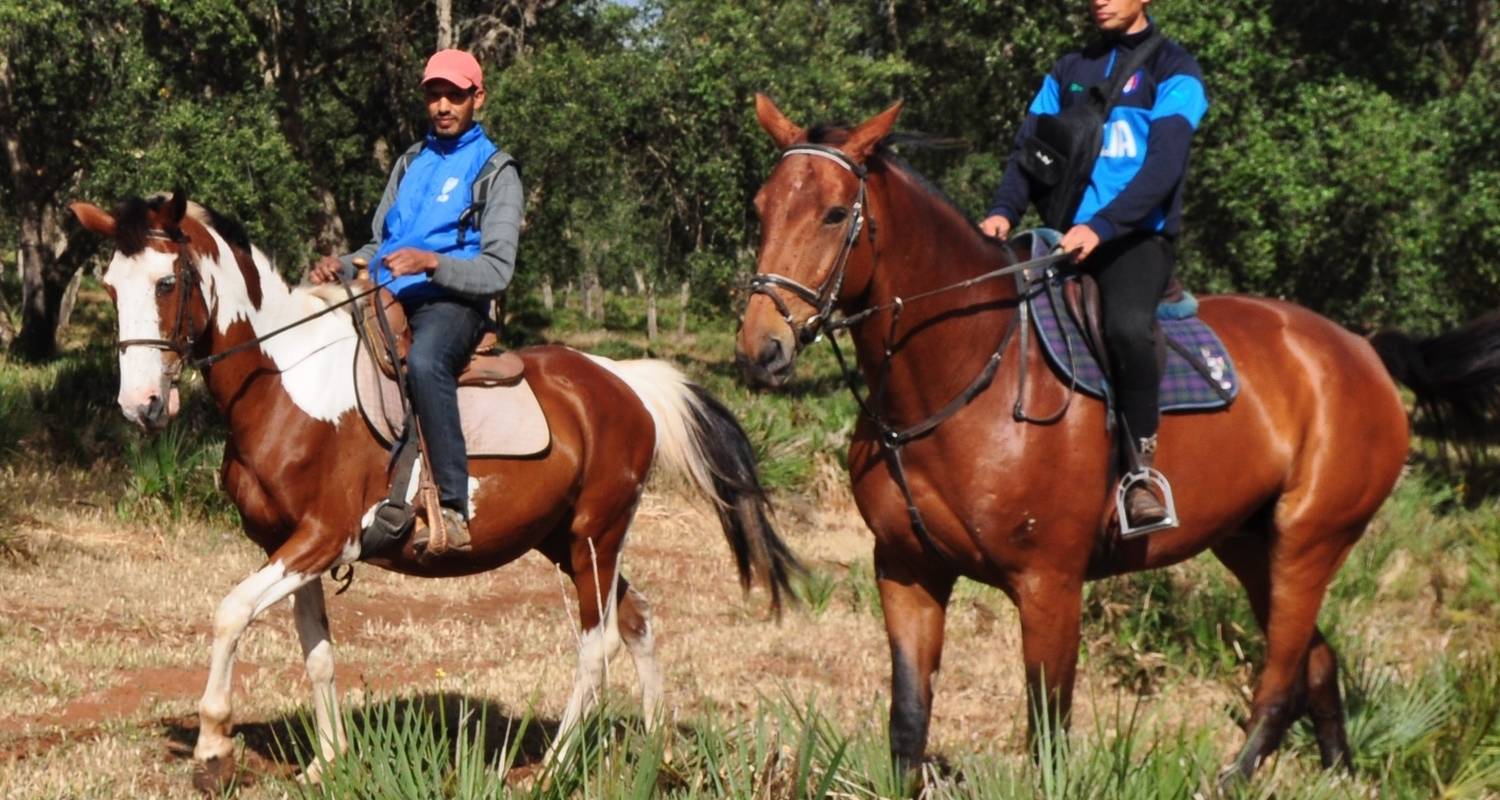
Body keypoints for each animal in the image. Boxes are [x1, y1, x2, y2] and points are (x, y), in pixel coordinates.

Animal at [70, 192, 804, 786]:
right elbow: (318, 653)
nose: (140, 405)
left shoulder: (322, 538)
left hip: (596, 536)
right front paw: (326, 762)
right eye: (108, 286)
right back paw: (657, 756)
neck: (287, 385)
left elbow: (230, 613)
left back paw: (555, 768)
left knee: (596, 647)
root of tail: (622, 381)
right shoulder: (290, 547)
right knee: (639, 620)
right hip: (566, 541)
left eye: (168, 281)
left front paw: (214, 746)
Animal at [738, 96, 1416, 780]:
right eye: (762, 207)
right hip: (1252, 545)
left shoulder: (1050, 588)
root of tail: (1362, 352)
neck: (970, 370)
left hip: (1309, 543)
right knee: (1317, 659)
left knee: (1280, 678)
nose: (761, 349)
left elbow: (1048, 737)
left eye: (833, 213)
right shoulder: (907, 570)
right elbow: (908, 722)